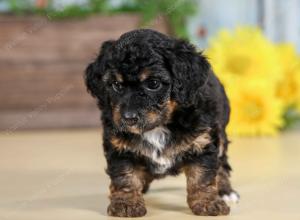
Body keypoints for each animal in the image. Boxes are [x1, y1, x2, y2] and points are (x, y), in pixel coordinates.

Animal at [85, 28, 239, 217]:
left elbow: (202, 175)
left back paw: (225, 191)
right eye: (115, 84)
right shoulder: (119, 148)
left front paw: (208, 202)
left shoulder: (202, 142)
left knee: (222, 164)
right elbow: (125, 176)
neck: (158, 126)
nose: (128, 118)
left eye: (153, 83)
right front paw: (126, 204)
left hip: (220, 132)